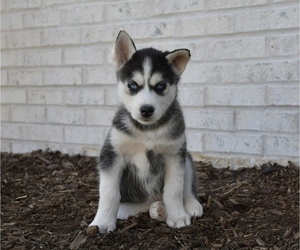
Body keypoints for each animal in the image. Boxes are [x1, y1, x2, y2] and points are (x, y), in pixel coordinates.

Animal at [89, 30, 202, 233]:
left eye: (160, 86)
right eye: (133, 85)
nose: (146, 110)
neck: (147, 130)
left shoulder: (174, 154)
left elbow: (174, 189)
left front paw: (177, 216)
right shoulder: (112, 153)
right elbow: (109, 193)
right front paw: (101, 222)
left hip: (186, 157)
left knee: (185, 188)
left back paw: (189, 205)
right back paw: (157, 208)